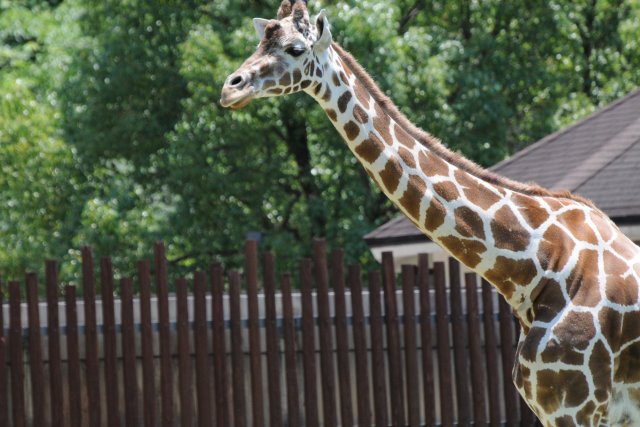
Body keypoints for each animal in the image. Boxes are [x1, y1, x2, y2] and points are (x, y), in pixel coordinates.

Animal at [219, 1, 640, 426]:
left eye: (294, 49)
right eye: (260, 42)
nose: (230, 87)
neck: (534, 267)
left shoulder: (577, 407)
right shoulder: (552, 407)